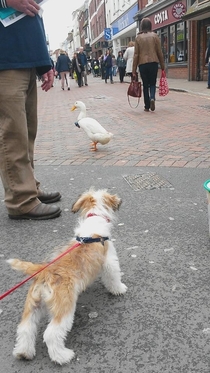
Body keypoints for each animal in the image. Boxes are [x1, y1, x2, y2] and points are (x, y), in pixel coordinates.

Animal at [7, 189, 127, 364]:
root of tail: (44, 271)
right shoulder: (109, 261)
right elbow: (113, 276)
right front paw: (119, 289)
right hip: (64, 309)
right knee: (51, 334)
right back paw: (62, 356)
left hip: (33, 307)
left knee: (25, 329)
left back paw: (24, 352)